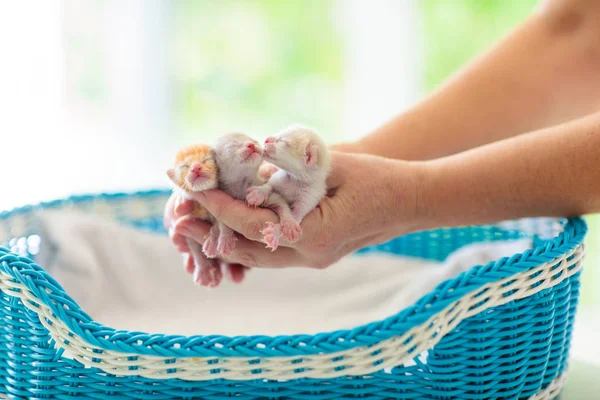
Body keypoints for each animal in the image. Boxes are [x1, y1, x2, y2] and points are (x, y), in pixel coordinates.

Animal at [166, 144, 223, 288]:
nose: (196, 167)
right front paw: (203, 269)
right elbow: (194, 247)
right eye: (184, 166)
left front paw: (213, 239)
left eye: (207, 160)